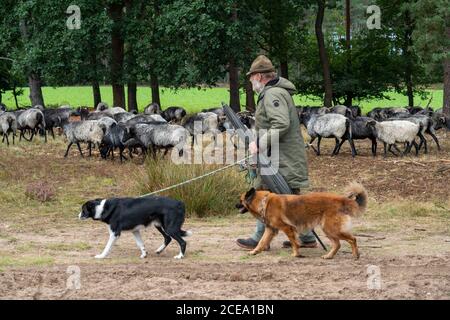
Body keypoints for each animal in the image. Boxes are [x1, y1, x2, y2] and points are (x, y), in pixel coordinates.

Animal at [237, 184, 368, 258]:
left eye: (240, 200)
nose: (234, 206)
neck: (264, 202)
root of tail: (341, 200)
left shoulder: (287, 228)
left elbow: (294, 243)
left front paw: (296, 254)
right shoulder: (270, 230)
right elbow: (261, 242)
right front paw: (254, 252)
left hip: (331, 229)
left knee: (352, 239)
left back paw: (355, 255)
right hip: (328, 230)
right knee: (337, 244)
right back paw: (329, 256)